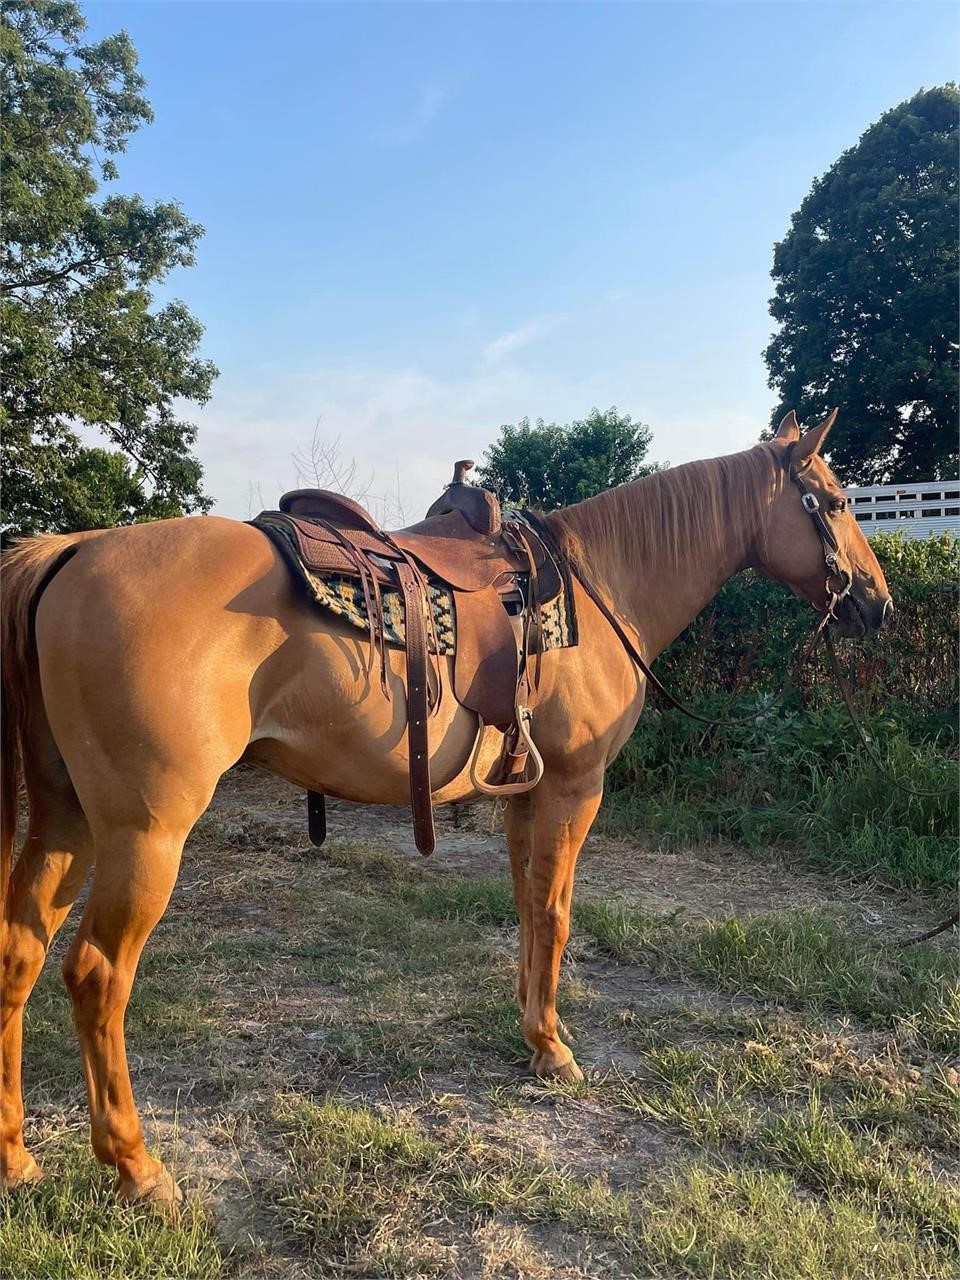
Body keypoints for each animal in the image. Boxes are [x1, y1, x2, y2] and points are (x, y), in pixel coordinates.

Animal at [0, 412, 890, 1208]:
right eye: (836, 501)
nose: (878, 604)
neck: (602, 588)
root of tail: (70, 550)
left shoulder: (525, 796)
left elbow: (531, 910)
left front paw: (534, 1034)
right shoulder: (573, 788)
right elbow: (559, 913)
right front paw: (556, 1051)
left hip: (67, 821)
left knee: (20, 951)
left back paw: (16, 1159)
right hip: (145, 835)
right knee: (96, 977)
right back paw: (137, 1169)